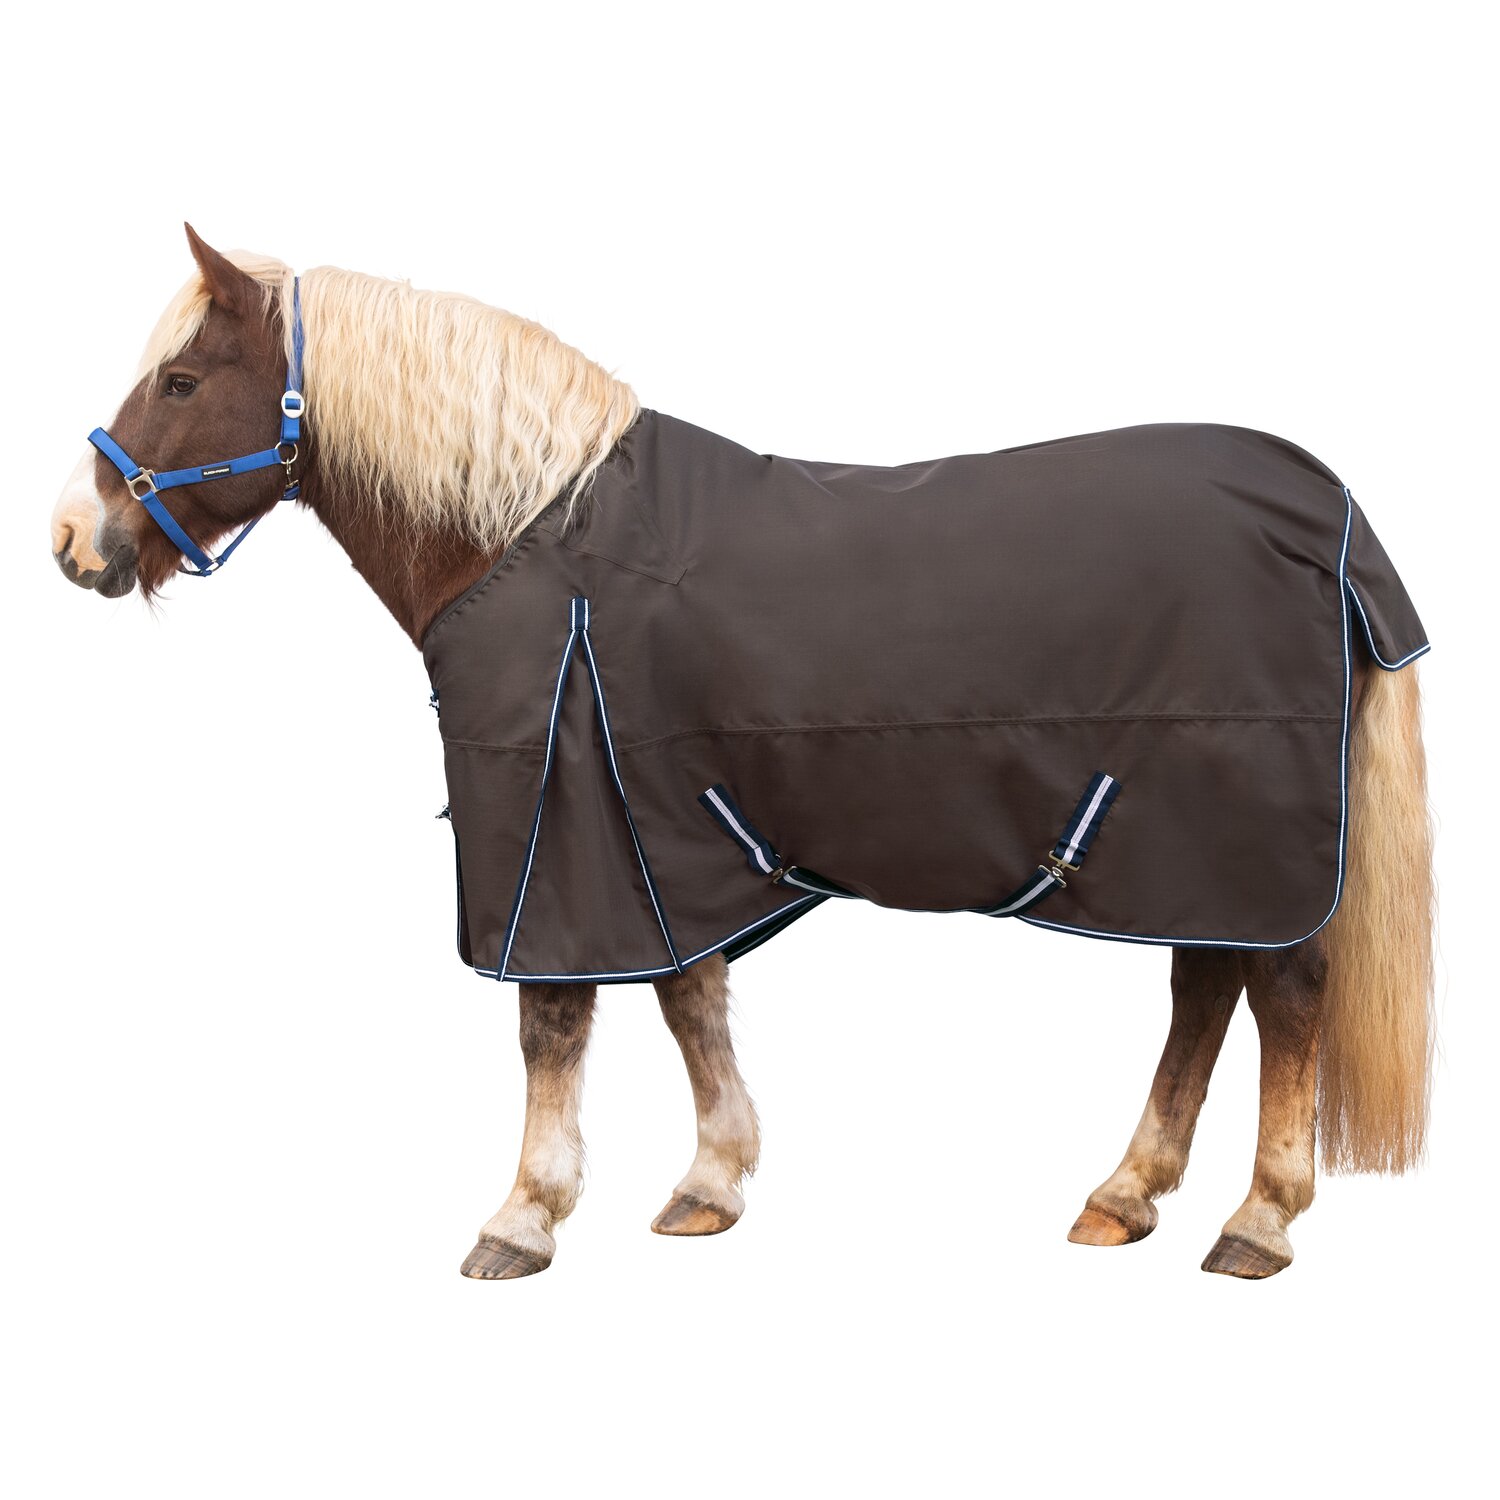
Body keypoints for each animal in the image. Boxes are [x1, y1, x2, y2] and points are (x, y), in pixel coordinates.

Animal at [51, 225, 1434, 1280]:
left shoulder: (558, 831)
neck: (537, 532)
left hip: (1228, 836)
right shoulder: (654, 823)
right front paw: (710, 1183)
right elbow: (689, 997)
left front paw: (524, 1215)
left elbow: (553, 1022)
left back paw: (1256, 1222)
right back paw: (1125, 1196)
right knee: (1205, 991)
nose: (74, 540)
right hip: (1178, 852)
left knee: (1284, 995)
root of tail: (1327, 516)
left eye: (181, 384)